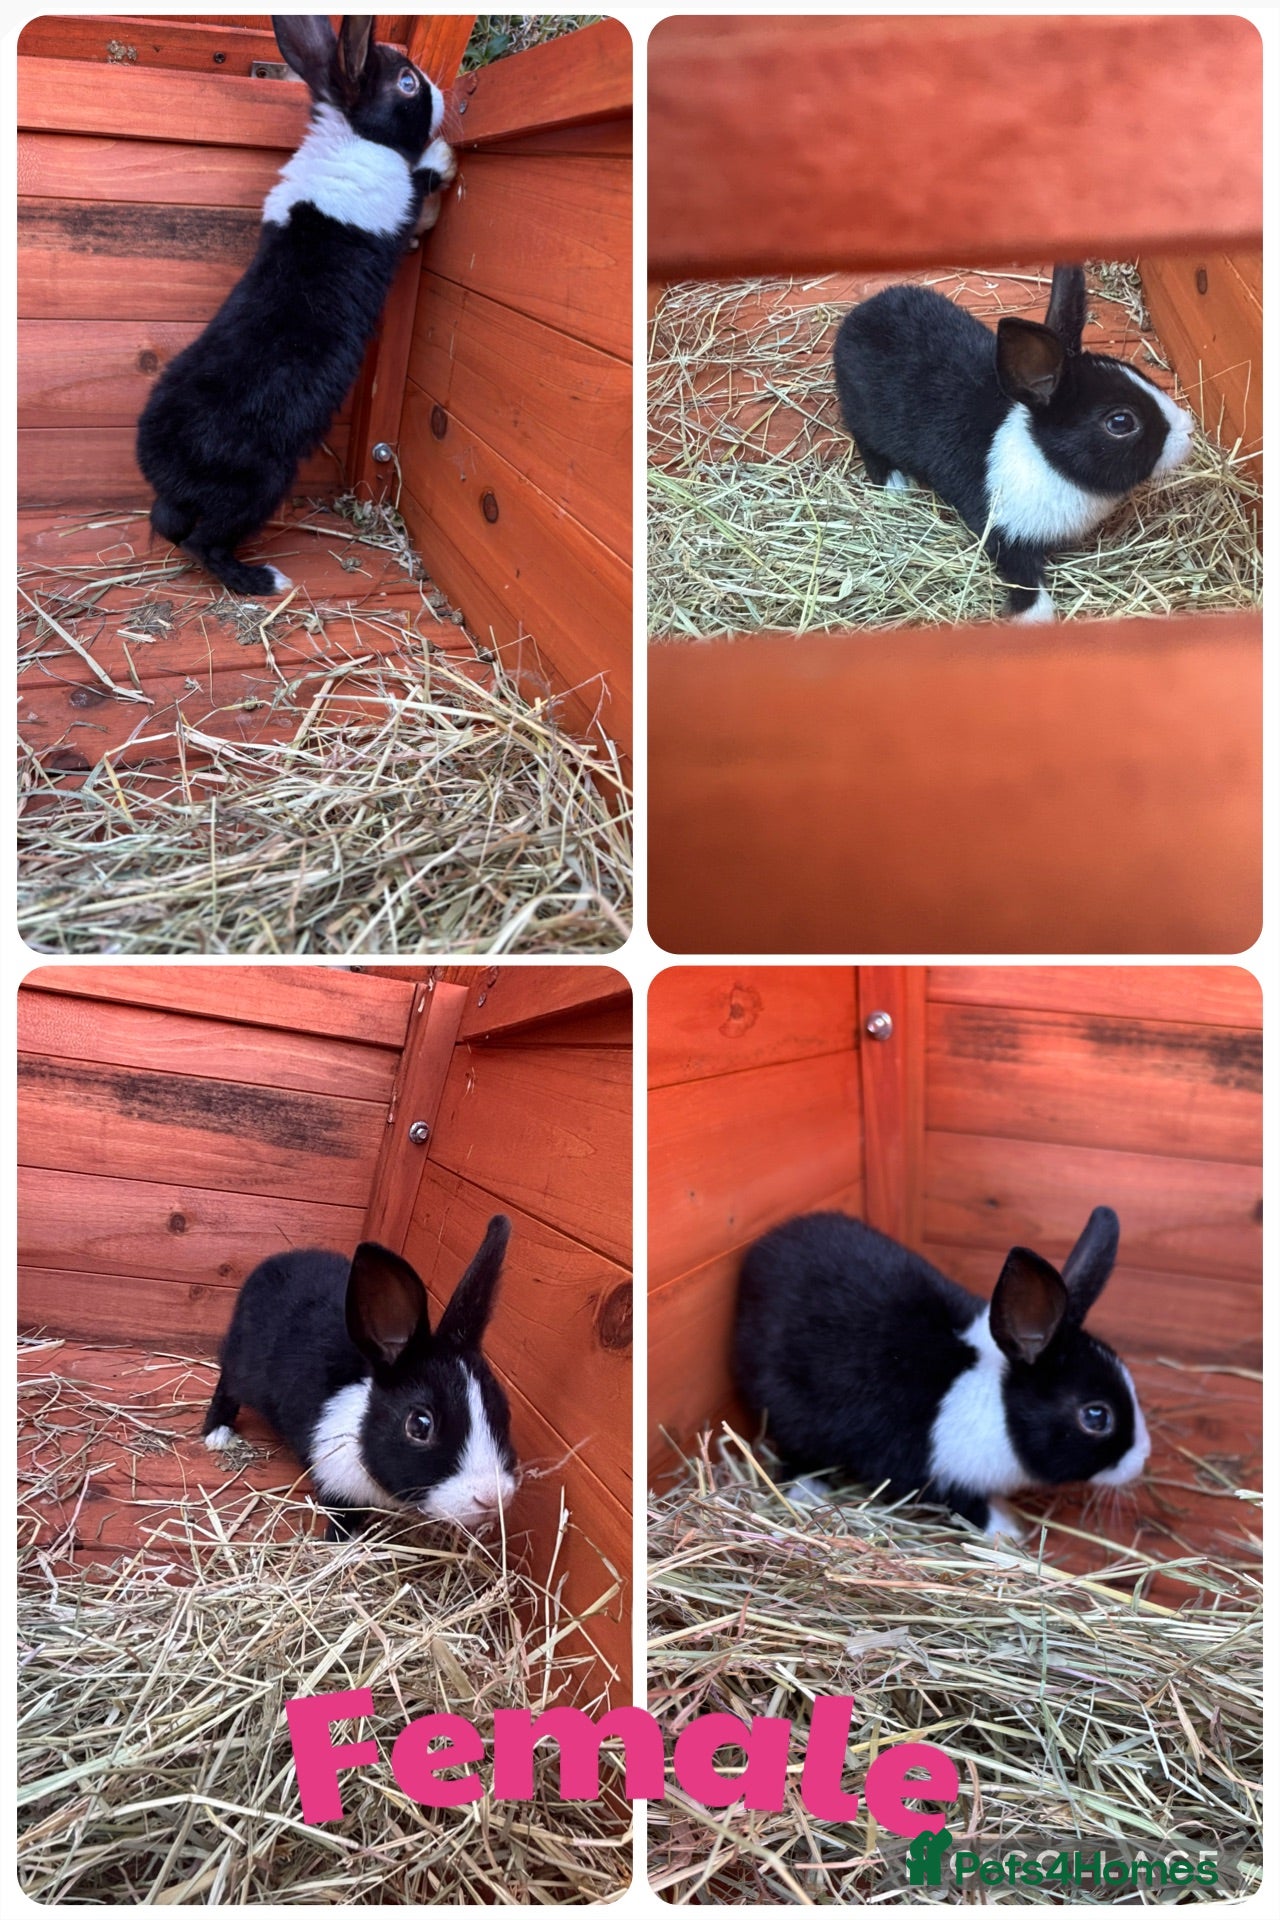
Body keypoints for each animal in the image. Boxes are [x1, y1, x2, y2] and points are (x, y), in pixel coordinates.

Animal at [136, 16, 456, 600]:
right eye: (406, 83)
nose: (442, 94)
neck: (353, 132)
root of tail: (166, 476)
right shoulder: (399, 209)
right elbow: (420, 190)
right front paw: (443, 158)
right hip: (256, 487)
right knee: (204, 544)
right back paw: (263, 580)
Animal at [202, 1215, 517, 1539]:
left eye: (504, 1411)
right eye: (419, 1425)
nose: (491, 1497)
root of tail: (275, 1260)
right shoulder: (337, 1482)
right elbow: (343, 1522)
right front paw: (340, 1543)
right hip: (241, 1362)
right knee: (227, 1382)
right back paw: (218, 1434)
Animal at [733, 1206, 1149, 1538]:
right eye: (1096, 1416)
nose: (1142, 1459)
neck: (1000, 1407)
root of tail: (756, 1257)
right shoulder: (935, 1471)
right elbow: (967, 1506)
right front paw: (1008, 1532)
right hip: (788, 1404)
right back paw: (807, 1489)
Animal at [832, 265, 1194, 621]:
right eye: (1120, 422)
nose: (1188, 431)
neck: (1047, 459)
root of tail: (861, 314)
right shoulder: (1001, 533)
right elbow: (1025, 580)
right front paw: (1035, 617)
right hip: (864, 415)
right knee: (866, 442)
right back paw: (895, 485)